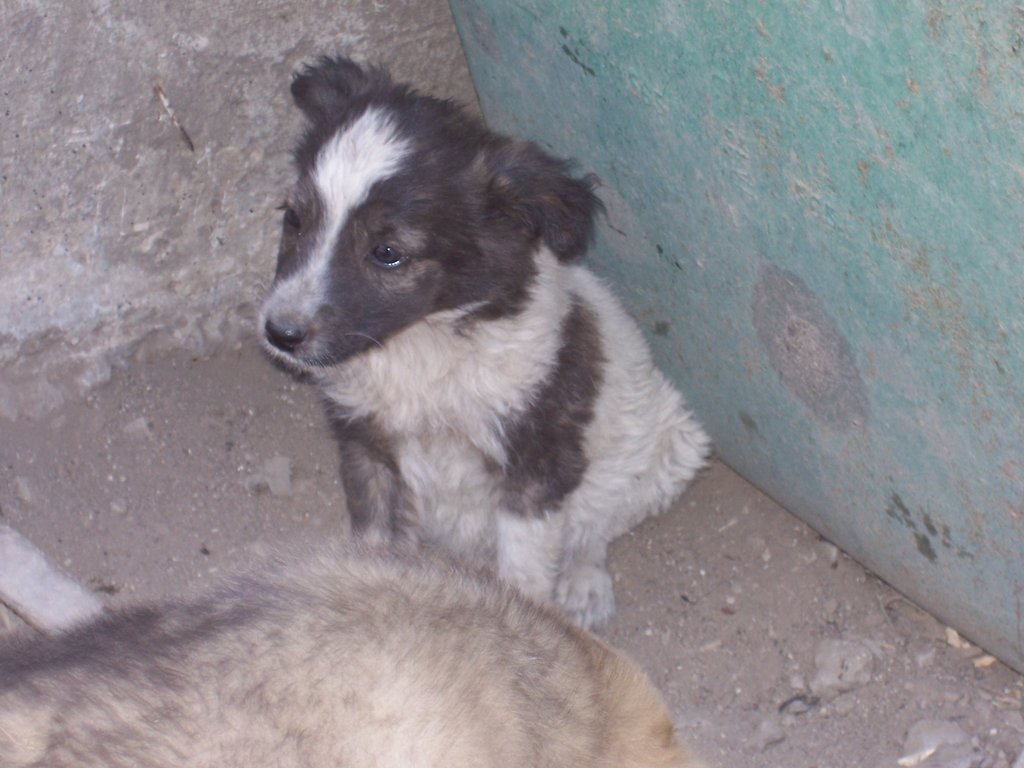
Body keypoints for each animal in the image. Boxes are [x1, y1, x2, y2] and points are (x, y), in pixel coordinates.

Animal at [260, 55, 708, 630]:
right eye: (294, 219)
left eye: (387, 253)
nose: (280, 334)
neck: (421, 344)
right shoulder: (368, 448)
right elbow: (375, 540)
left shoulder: (534, 467)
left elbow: (525, 571)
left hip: (668, 450)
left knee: (596, 528)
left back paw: (584, 584)